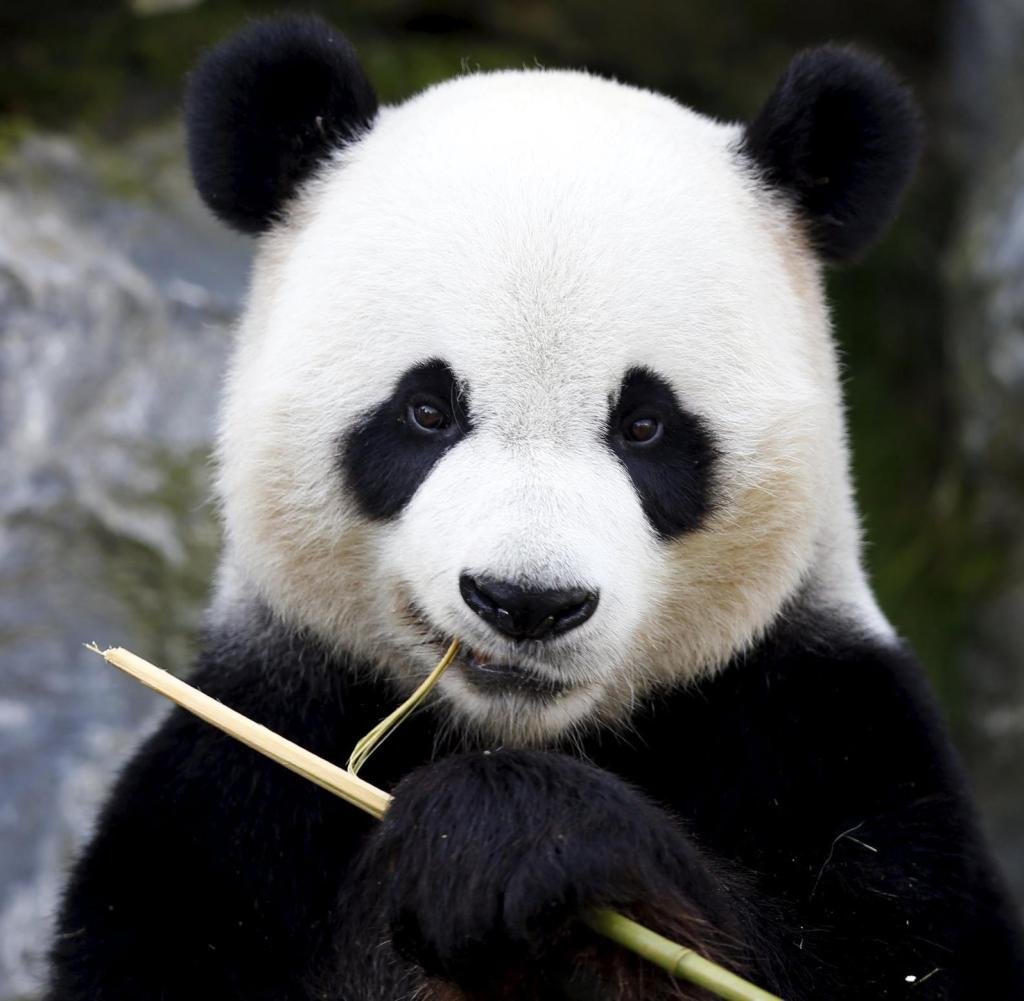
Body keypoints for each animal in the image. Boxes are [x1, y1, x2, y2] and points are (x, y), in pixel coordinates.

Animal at [46, 15, 1024, 998]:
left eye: (645, 425)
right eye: (427, 410)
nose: (527, 602)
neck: (512, 730)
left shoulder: (828, 730)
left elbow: (881, 952)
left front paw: (501, 839)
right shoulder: (236, 778)